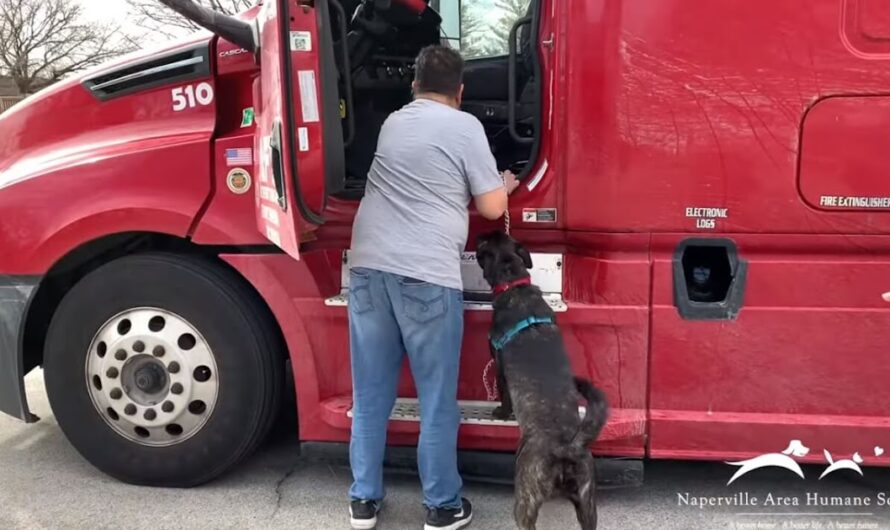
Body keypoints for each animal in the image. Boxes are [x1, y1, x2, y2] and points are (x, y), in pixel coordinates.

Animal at [476, 230, 608, 528]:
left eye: (484, 243)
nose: (478, 235)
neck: (514, 284)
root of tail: (568, 447)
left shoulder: (499, 366)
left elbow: (504, 394)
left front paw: (501, 412)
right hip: (588, 504)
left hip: (525, 499)